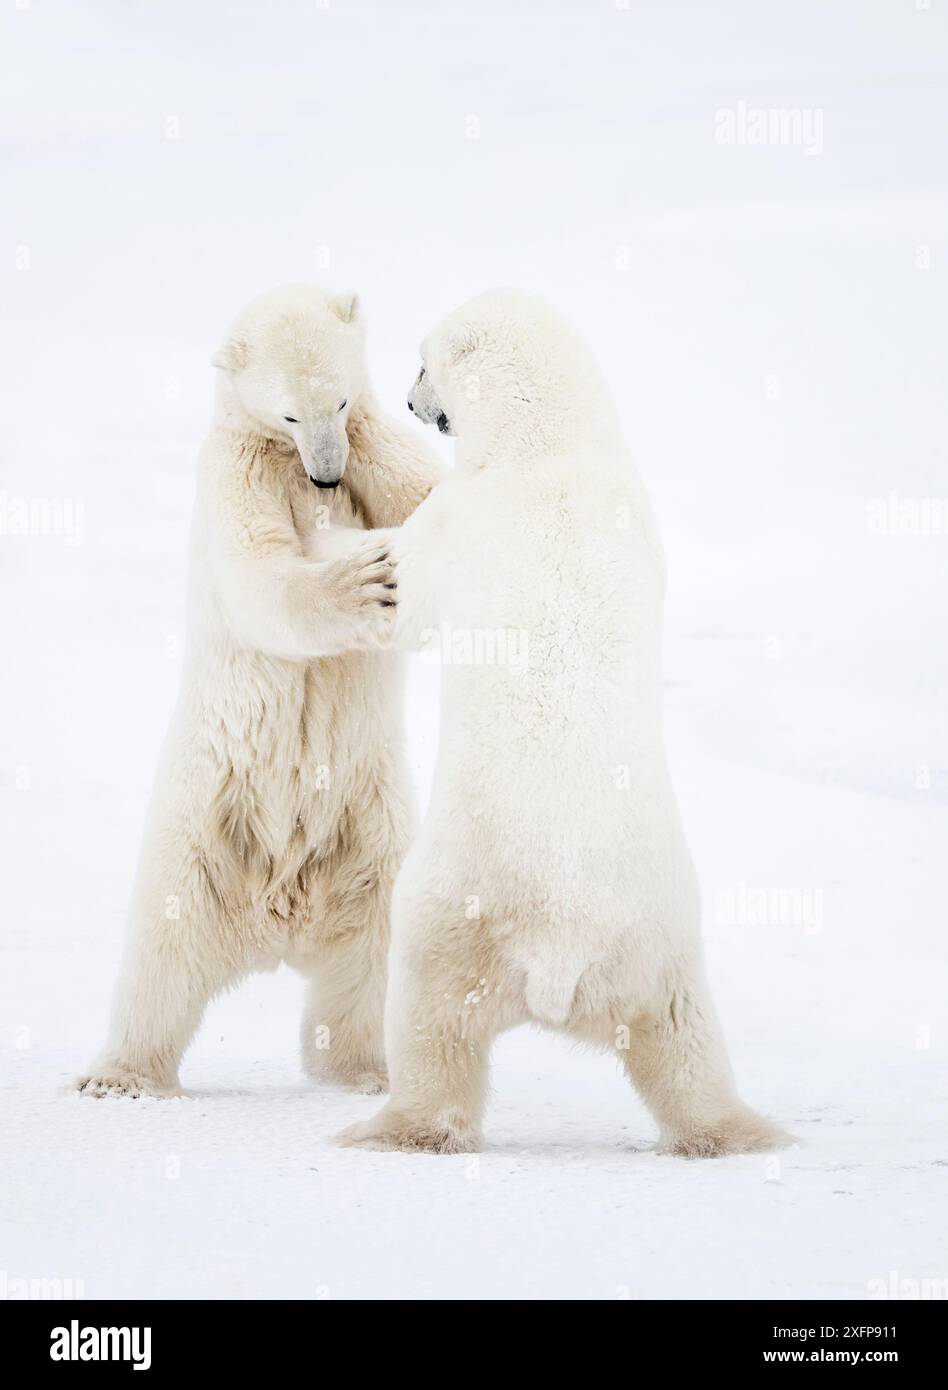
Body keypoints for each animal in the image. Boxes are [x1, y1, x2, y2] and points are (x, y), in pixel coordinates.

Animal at [77, 284, 443, 1098]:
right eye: (288, 416)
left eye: (338, 400)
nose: (328, 477)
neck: (292, 464)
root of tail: (278, 921)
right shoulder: (238, 471)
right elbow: (261, 574)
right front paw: (363, 578)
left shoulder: (375, 444)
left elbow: (426, 499)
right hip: (199, 837)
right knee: (159, 961)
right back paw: (118, 1076)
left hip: (372, 838)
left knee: (372, 962)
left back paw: (363, 1069)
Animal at [338, 289, 791, 1155]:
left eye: (422, 363)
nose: (412, 403)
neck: (550, 449)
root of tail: (558, 951)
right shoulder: (640, 512)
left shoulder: (467, 514)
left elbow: (410, 595)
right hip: (656, 942)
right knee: (682, 1039)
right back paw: (737, 1129)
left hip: (456, 906)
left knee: (432, 1019)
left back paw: (395, 1127)